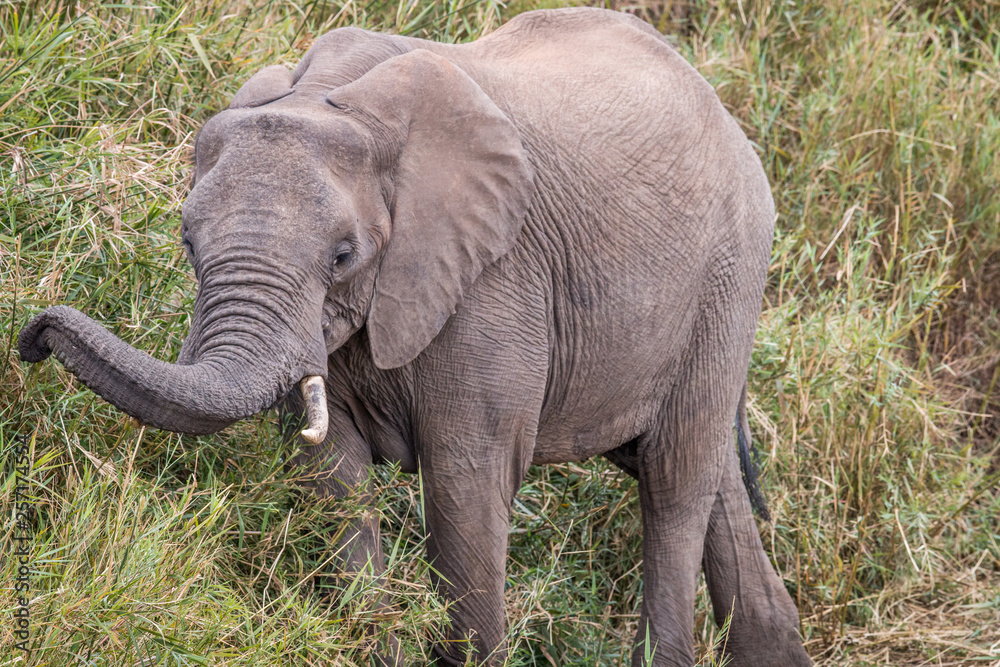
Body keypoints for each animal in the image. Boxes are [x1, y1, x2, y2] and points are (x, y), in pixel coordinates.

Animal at [18, 7, 811, 666]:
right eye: (188, 243)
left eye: (343, 255)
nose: (32, 335)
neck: (333, 96)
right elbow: (332, 475)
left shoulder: (494, 279)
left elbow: (466, 484)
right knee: (696, 475)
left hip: (729, 277)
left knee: (674, 480)